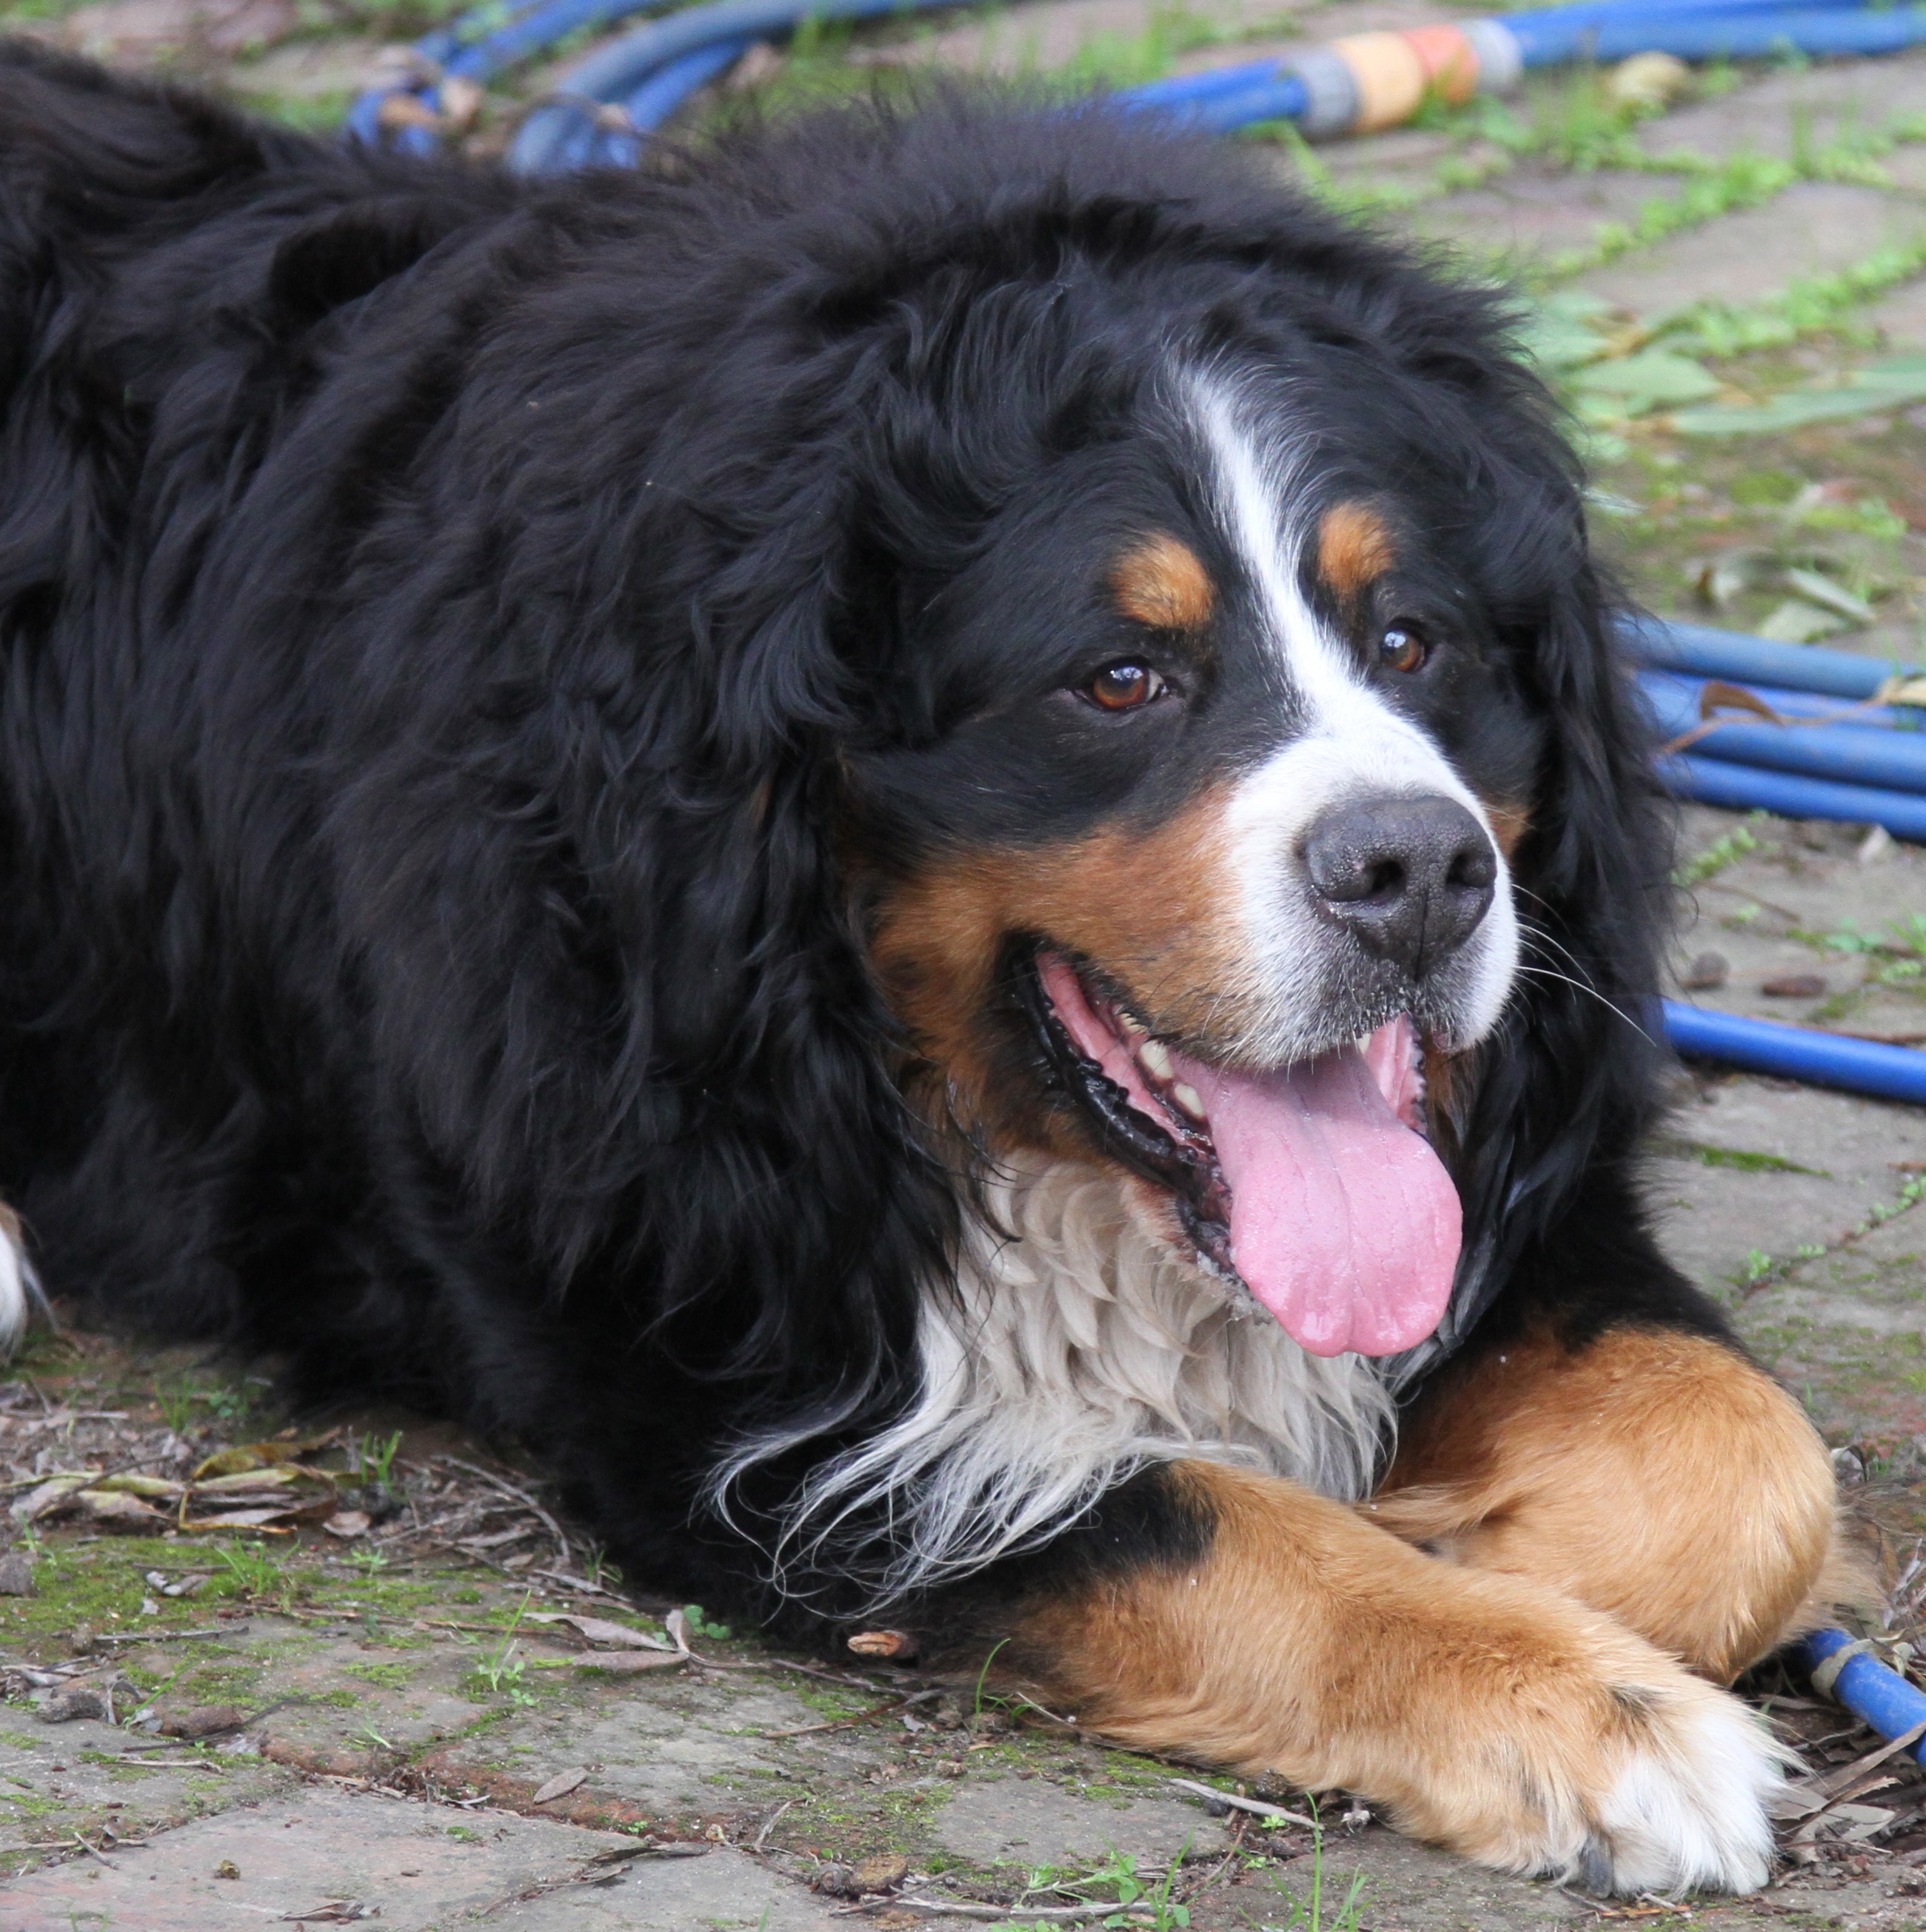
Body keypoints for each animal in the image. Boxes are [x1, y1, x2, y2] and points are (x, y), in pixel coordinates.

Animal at [0, 41, 1847, 1901]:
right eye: (1118, 677)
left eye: (1411, 637)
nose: (1415, 874)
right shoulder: (737, 1387)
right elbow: (1212, 1524)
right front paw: (1585, 1708)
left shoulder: (1519, 1193)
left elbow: (1742, 1456)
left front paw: (1493, 1532)